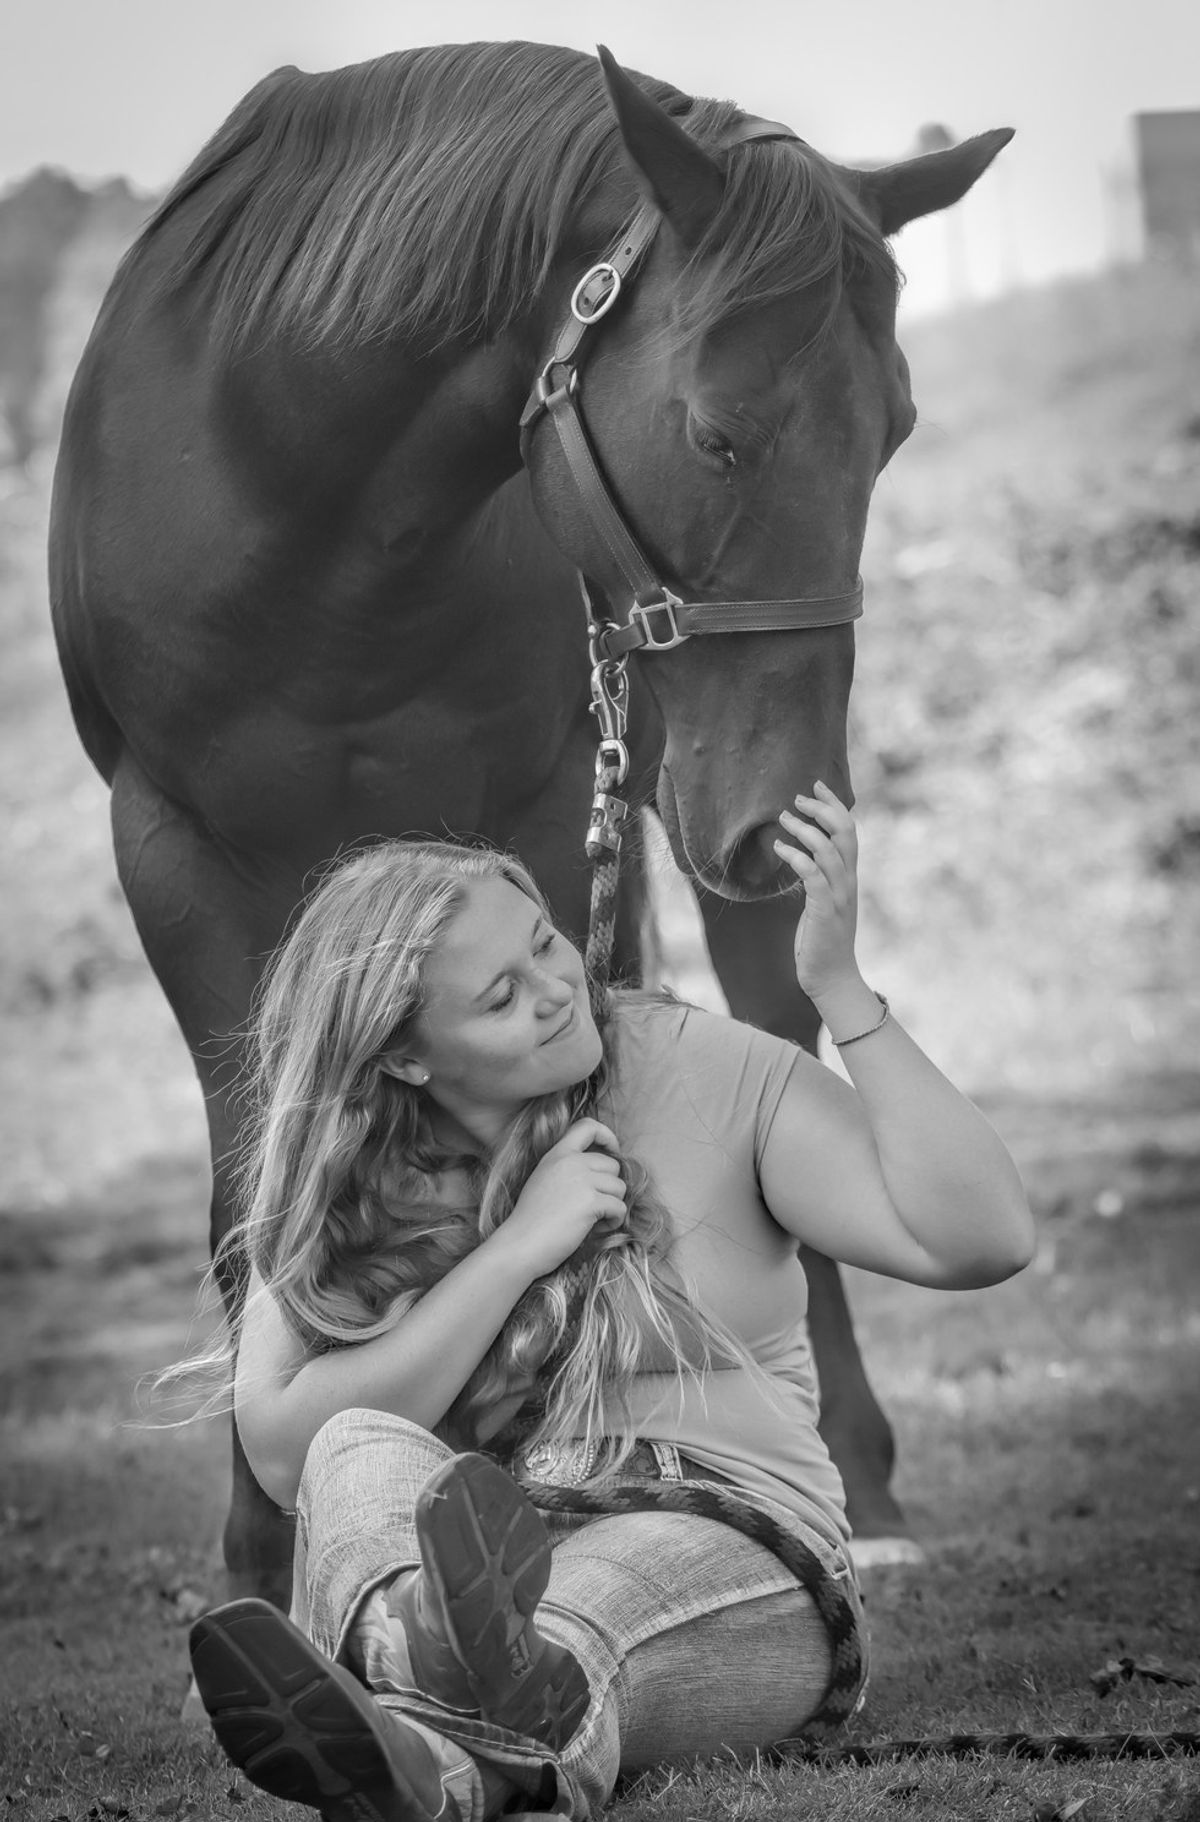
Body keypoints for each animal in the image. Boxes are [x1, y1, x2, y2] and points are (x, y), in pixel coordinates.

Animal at [49, 40, 1010, 1604]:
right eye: (716, 433)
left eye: (896, 435)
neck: (284, 497)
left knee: (780, 1039)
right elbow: (252, 1200)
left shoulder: (554, 817)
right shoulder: (171, 855)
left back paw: (850, 1469)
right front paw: (264, 1548)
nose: (780, 820)